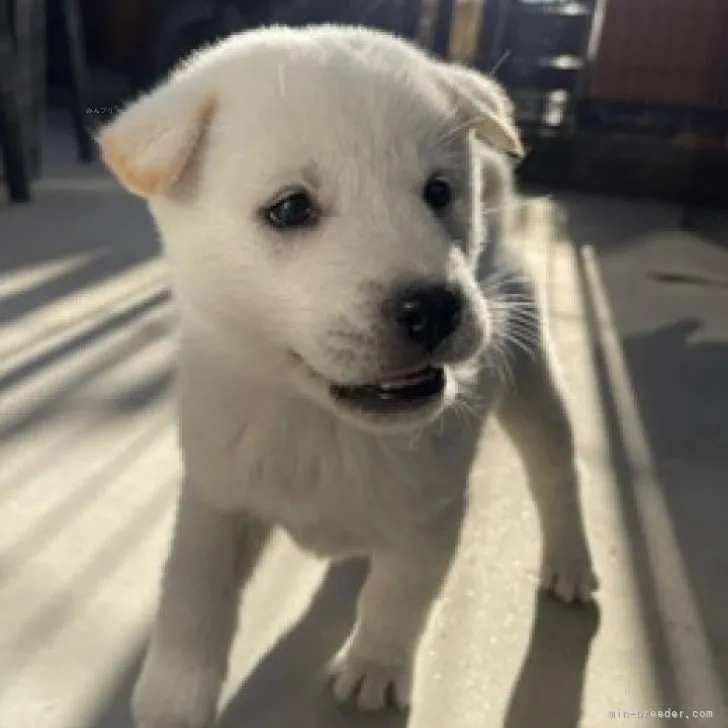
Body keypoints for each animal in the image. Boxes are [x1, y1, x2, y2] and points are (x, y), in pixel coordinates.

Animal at [98, 24, 596, 728]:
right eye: (290, 209)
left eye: (438, 192)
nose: (435, 308)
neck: (318, 422)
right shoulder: (216, 497)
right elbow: (192, 604)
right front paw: (172, 700)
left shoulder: (433, 514)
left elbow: (399, 596)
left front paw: (376, 667)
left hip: (531, 376)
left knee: (557, 476)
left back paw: (571, 563)